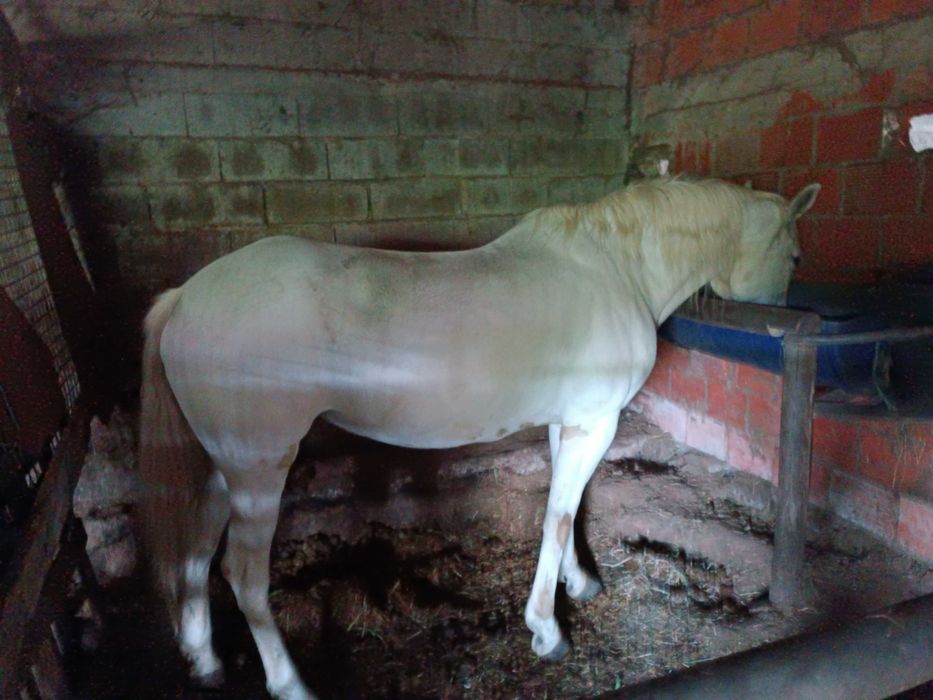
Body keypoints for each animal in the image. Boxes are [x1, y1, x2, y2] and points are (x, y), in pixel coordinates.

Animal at [138, 177, 819, 699]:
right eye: (794, 257)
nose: (787, 319)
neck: (615, 269)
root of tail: (185, 298)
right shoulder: (594, 422)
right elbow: (558, 515)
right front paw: (547, 629)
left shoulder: (568, 421)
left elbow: (564, 510)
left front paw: (579, 584)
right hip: (259, 470)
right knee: (243, 574)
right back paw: (290, 684)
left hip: (222, 468)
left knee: (195, 551)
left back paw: (204, 661)